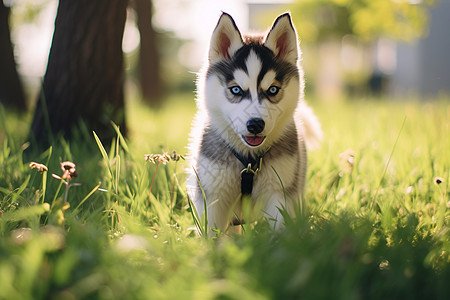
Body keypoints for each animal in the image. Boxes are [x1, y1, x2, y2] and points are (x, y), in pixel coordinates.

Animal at [187, 11, 324, 231]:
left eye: (273, 90)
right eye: (236, 90)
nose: (255, 125)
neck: (249, 160)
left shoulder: (280, 191)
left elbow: (281, 230)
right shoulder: (213, 196)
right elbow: (212, 232)